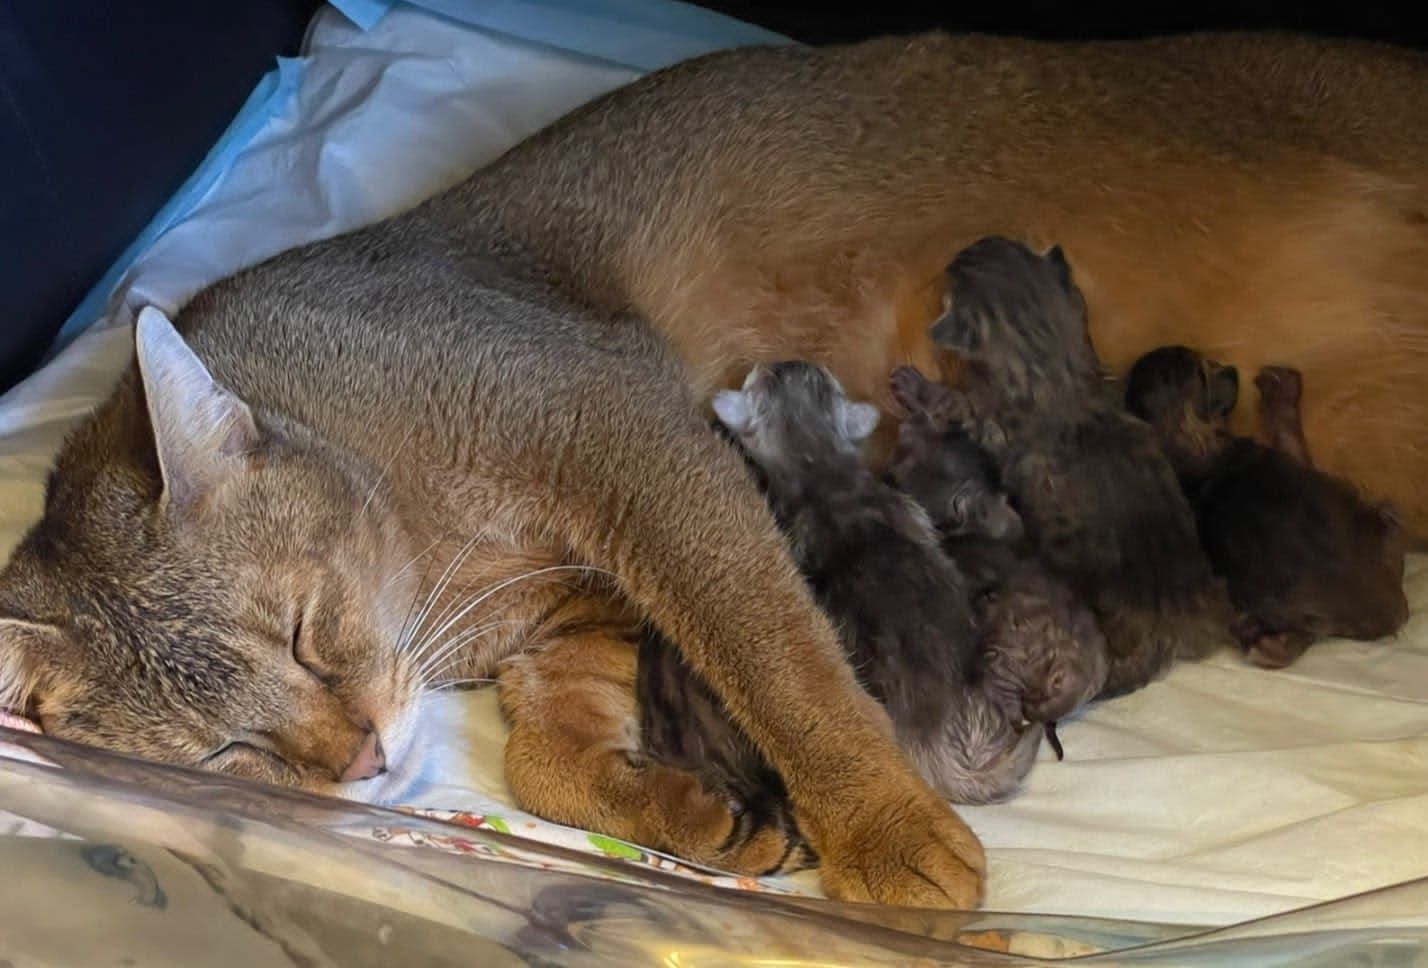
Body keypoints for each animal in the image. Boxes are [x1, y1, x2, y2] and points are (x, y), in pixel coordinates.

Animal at [931, 238, 1233, 702]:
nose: (954, 254)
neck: (1053, 358)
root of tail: (1168, 630)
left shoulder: (996, 425)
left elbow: (972, 415)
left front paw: (941, 400)